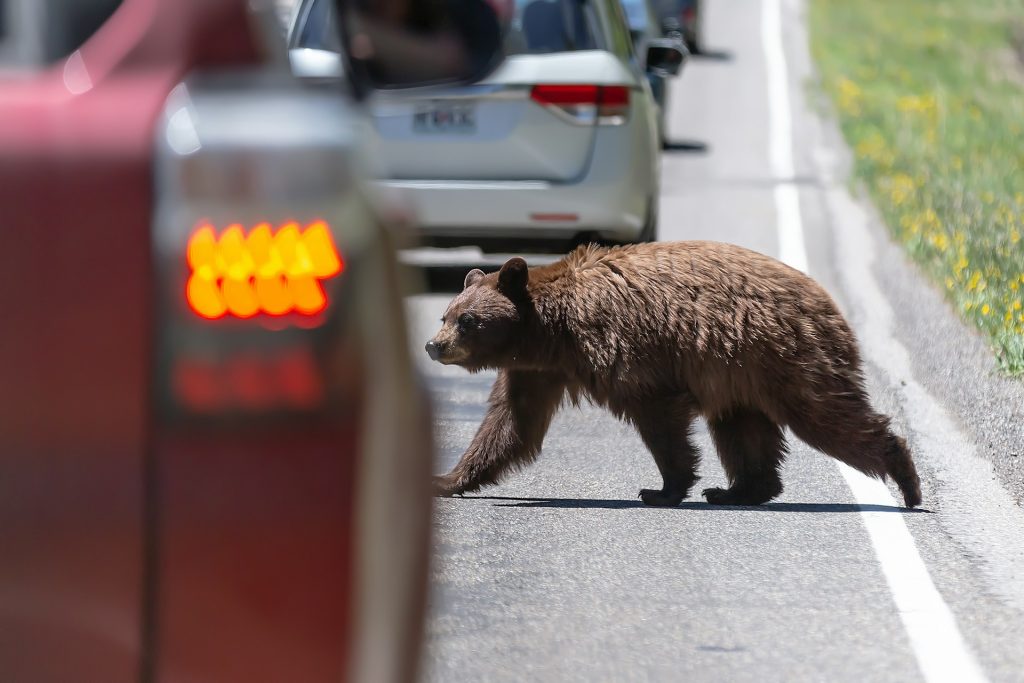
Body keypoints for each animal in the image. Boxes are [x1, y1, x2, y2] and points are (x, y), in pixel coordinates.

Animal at [424, 241, 922, 508]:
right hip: (743, 373)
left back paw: (908, 481)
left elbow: (659, 418)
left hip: (783, 357)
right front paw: (447, 480)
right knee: (743, 428)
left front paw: (662, 488)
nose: (433, 345)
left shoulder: (625, 351)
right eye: (446, 314)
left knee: (827, 416)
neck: (553, 331)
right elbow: (511, 423)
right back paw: (737, 490)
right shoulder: (536, 371)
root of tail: (826, 300)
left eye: (467, 320)